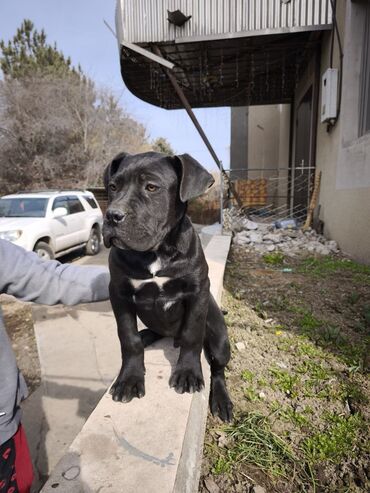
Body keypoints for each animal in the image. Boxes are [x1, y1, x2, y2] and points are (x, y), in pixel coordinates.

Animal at [102, 150, 233, 418]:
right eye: (113, 187)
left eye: (152, 187)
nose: (112, 215)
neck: (157, 251)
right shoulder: (118, 292)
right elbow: (128, 338)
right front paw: (129, 379)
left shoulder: (197, 290)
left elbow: (193, 333)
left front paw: (188, 373)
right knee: (144, 335)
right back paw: (146, 336)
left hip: (220, 341)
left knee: (218, 369)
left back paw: (221, 400)